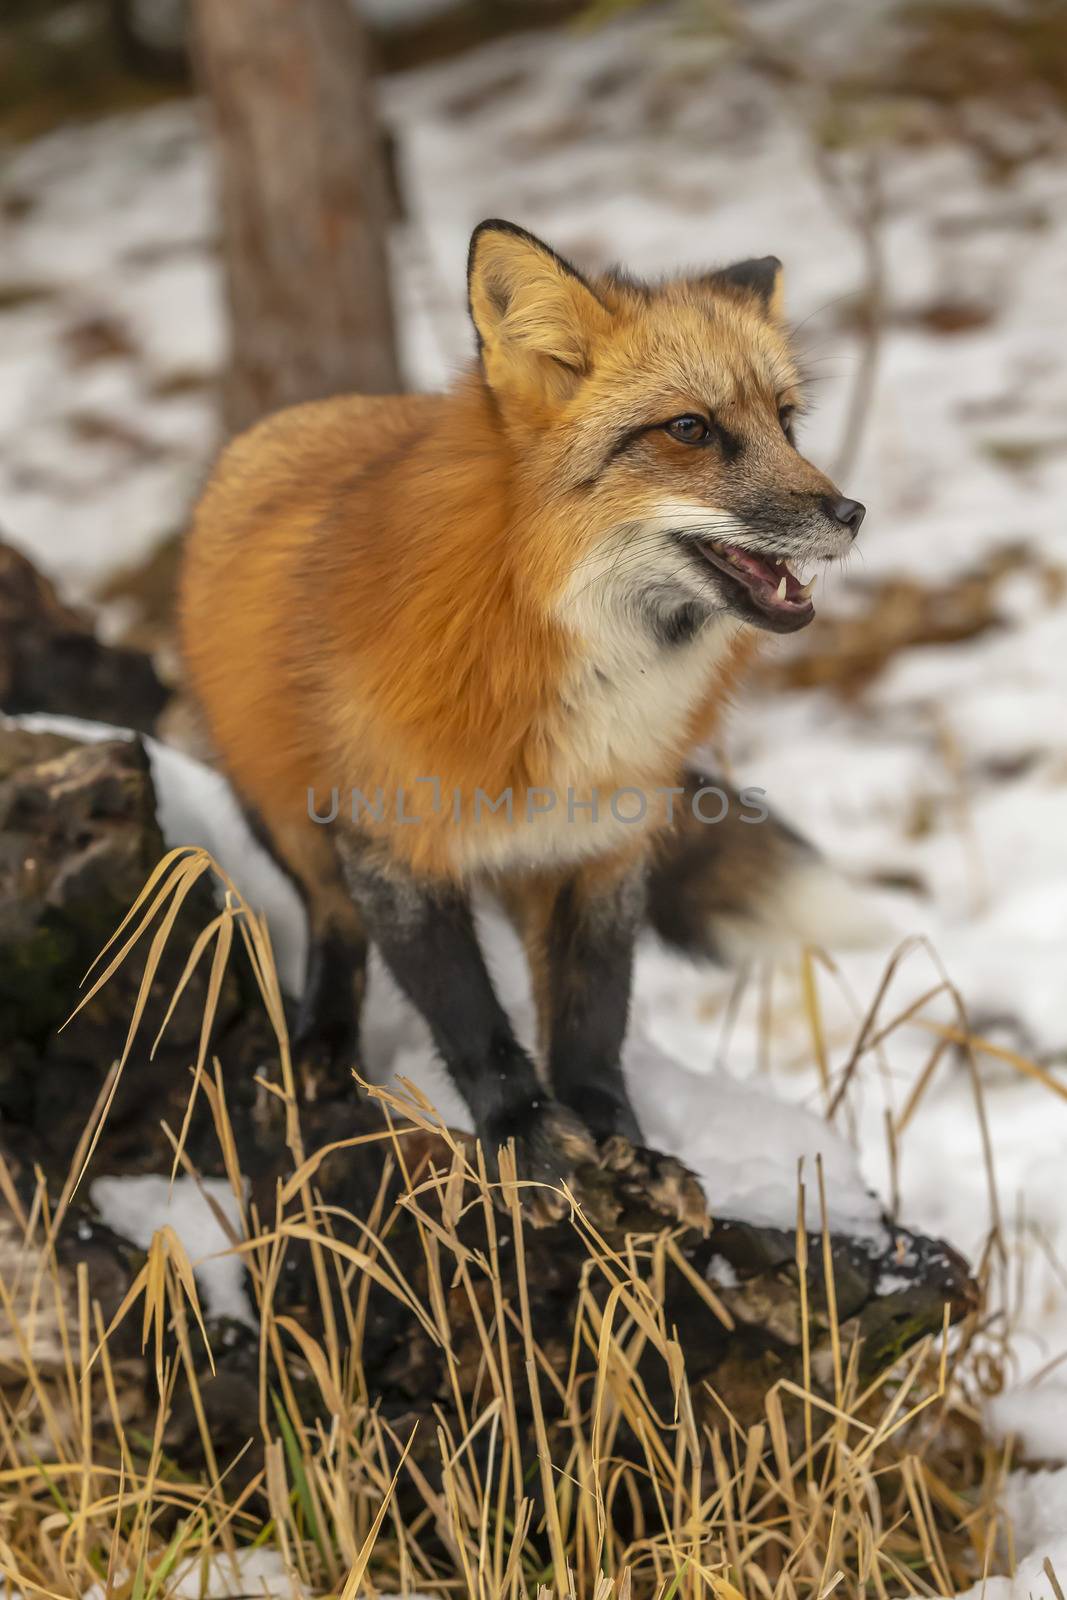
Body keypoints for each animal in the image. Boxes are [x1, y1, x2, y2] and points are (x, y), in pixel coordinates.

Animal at [181, 222, 870, 1222]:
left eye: (786, 423)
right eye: (690, 429)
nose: (850, 512)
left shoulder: (602, 848)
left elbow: (590, 1025)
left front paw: (625, 1148)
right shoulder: (395, 845)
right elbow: (472, 1022)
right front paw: (529, 1146)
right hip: (281, 806)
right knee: (331, 920)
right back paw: (319, 1048)